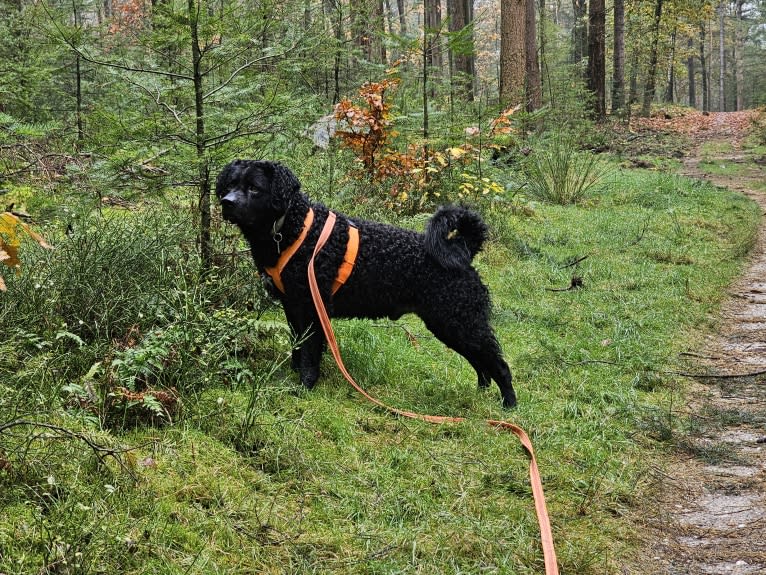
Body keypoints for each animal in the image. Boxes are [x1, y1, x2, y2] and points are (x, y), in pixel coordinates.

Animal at [214, 160, 520, 408]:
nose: (227, 202)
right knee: (481, 364)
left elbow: (310, 353)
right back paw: (480, 393)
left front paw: (305, 386)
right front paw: (292, 372)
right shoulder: (293, 307)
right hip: (452, 326)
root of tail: (464, 252)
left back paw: (509, 405)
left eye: (254, 188)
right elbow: (297, 347)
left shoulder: (313, 310)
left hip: (460, 323)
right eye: (230, 184)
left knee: (499, 365)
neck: (295, 227)